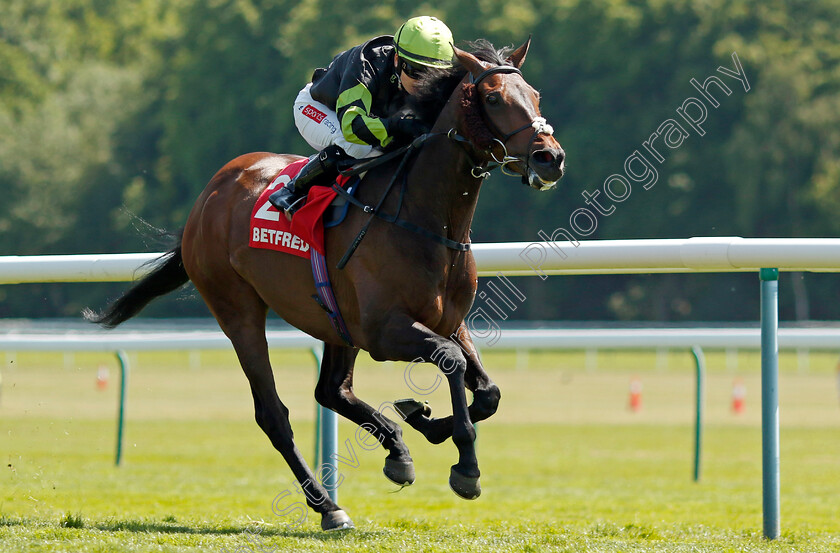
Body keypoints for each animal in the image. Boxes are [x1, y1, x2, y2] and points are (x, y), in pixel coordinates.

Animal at [85, 38, 564, 532]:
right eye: (493, 97)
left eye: (534, 95)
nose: (550, 157)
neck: (424, 218)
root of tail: (209, 195)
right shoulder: (383, 332)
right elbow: (451, 362)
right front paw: (464, 466)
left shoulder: (448, 320)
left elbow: (487, 392)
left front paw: (424, 419)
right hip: (238, 312)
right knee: (274, 415)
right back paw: (328, 505)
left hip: (336, 322)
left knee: (331, 391)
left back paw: (396, 451)